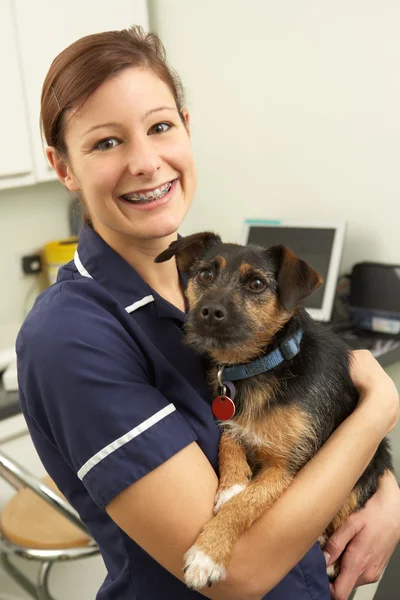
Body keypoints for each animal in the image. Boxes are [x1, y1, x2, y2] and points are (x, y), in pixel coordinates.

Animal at [155, 231, 392, 592]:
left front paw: (207, 554)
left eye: (256, 283)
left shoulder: (287, 467)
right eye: (205, 275)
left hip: (373, 459)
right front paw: (231, 485)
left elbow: (245, 505)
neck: (259, 365)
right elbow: (230, 438)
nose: (209, 311)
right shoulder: (229, 415)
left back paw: (330, 554)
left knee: (346, 511)